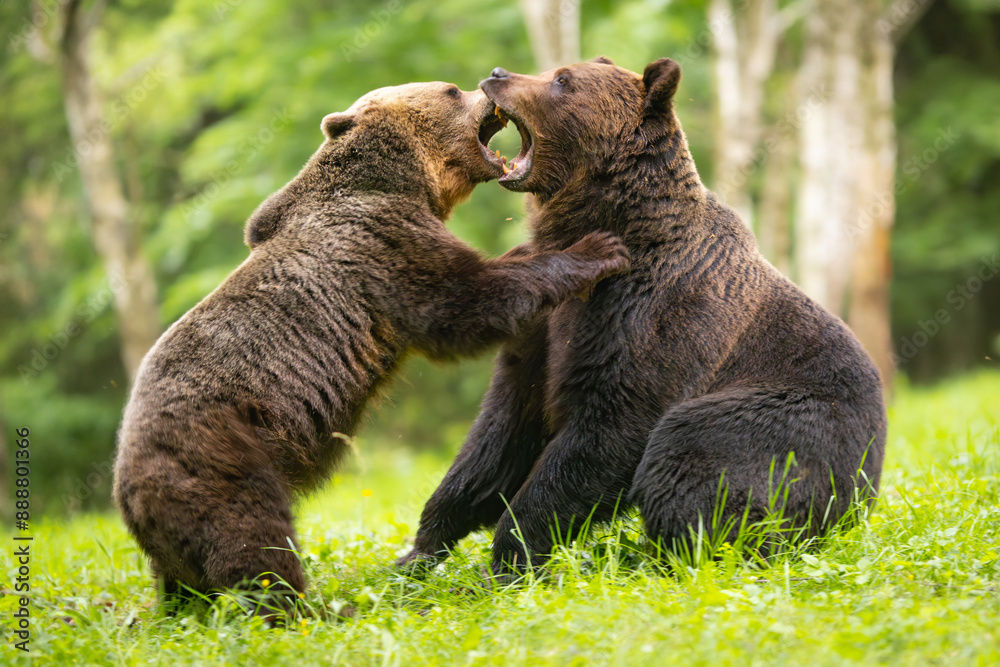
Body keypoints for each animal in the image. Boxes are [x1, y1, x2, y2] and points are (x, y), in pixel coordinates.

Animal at [112, 80, 631, 612]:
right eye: (451, 90)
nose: (487, 86)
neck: (401, 183)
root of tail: (126, 493)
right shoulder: (378, 242)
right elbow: (463, 302)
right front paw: (594, 248)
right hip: (223, 454)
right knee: (254, 545)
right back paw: (304, 609)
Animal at [398, 58, 887, 577]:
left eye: (562, 80)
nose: (497, 74)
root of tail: (867, 492)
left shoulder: (649, 316)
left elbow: (609, 429)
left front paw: (511, 557)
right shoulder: (542, 329)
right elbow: (501, 431)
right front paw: (419, 550)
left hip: (794, 419)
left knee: (694, 450)